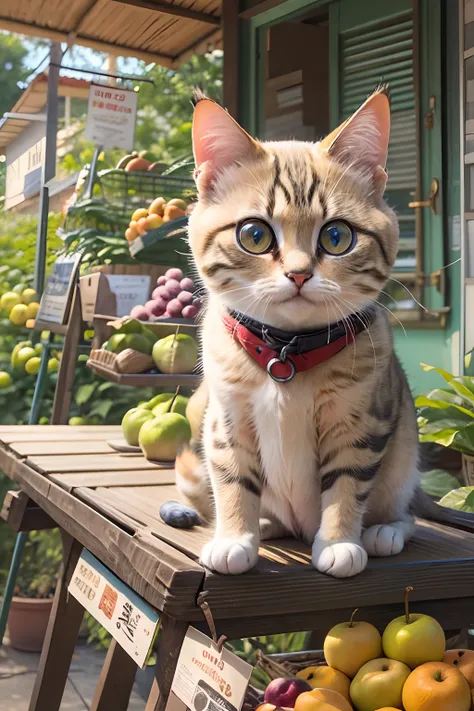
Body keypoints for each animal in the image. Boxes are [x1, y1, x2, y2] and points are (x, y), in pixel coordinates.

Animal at [163, 89, 434, 580]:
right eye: (254, 234)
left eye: (337, 236)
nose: (299, 274)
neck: (285, 351)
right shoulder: (226, 421)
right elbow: (232, 481)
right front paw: (235, 537)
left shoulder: (360, 422)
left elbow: (347, 483)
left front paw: (340, 541)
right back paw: (264, 524)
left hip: (404, 461)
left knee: (406, 509)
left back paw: (385, 531)